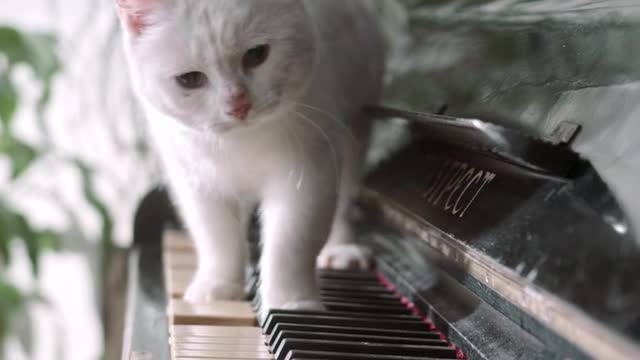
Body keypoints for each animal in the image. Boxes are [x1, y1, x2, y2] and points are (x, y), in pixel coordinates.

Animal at [115, 0, 384, 314]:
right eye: (190, 80)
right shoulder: (197, 183)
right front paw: (219, 287)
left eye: (257, 55)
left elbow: (291, 244)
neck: (241, 142)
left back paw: (341, 249)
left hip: (355, 132)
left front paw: (292, 304)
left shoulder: (308, 174)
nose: (238, 105)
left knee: (344, 201)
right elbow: (218, 239)